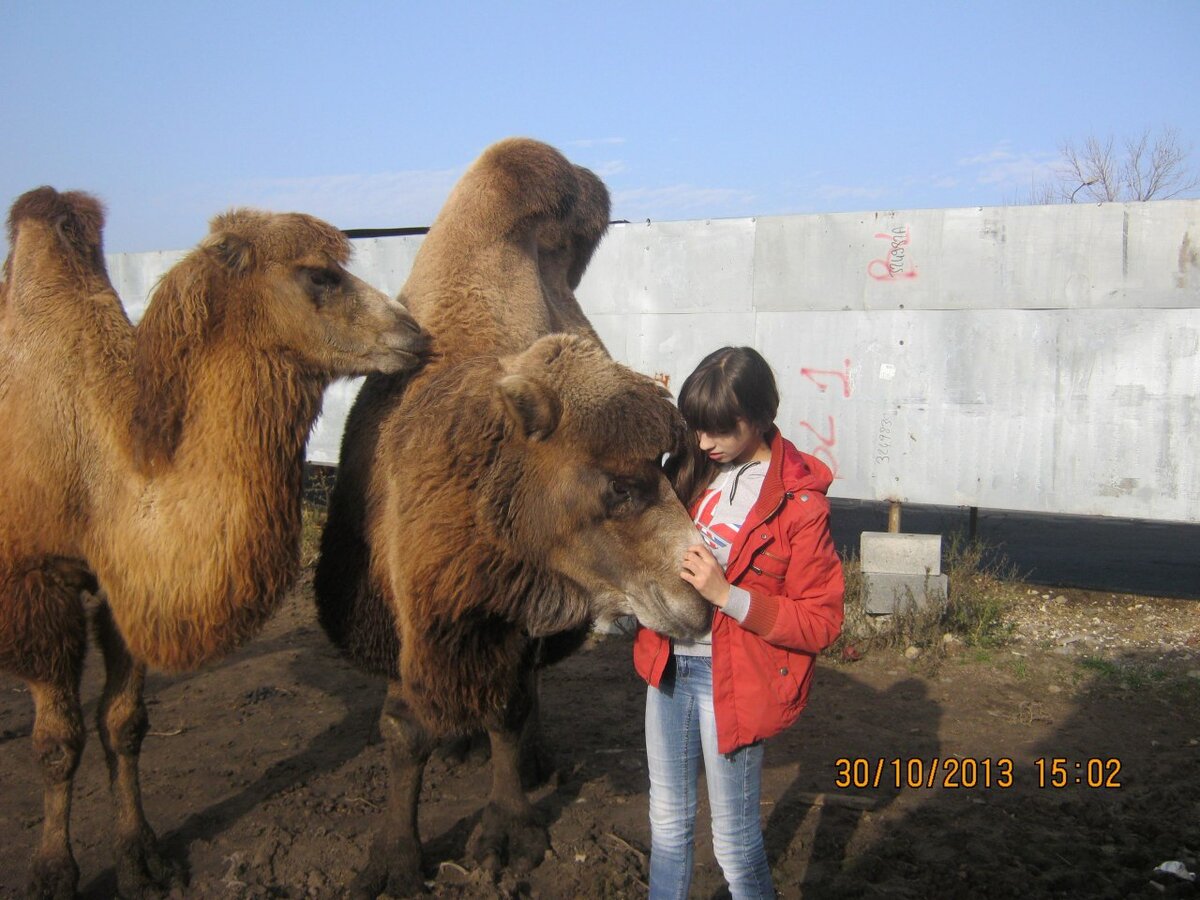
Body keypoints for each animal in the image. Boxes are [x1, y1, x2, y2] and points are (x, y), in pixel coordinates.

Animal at [0, 187, 432, 897]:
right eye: (320, 275)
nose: (415, 333)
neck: (94, 462)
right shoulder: (37, 580)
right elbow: (58, 741)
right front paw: (52, 873)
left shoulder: (127, 588)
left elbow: (123, 724)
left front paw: (141, 858)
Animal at [314, 137, 715, 897]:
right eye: (617, 486)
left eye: (663, 463)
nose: (701, 597)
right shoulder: (412, 598)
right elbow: (402, 725)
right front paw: (393, 858)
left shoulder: (517, 601)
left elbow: (509, 704)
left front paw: (508, 831)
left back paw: (534, 759)